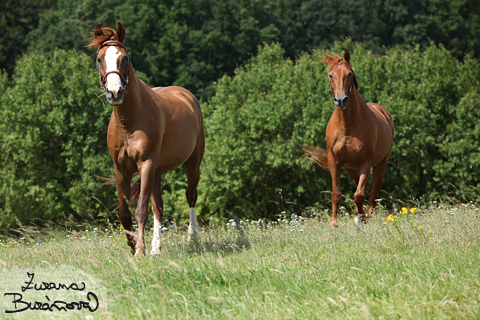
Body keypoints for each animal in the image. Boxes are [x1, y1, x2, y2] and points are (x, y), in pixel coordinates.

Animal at [88, 22, 204, 256]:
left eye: (125, 57)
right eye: (99, 59)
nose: (115, 92)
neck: (129, 122)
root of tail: (188, 96)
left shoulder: (146, 164)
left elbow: (141, 210)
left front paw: (140, 249)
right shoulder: (121, 170)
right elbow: (125, 213)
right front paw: (133, 248)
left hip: (192, 164)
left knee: (191, 196)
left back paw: (193, 240)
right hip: (157, 172)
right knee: (158, 207)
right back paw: (156, 249)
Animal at [304, 48, 394, 226]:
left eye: (349, 74)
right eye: (330, 75)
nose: (341, 100)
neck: (347, 126)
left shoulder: (366, 162)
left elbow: (359, 195)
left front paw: (363, 217)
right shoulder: (335, 162)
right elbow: (336, 194)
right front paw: (333, 224)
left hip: (380, 165)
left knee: (372, 194)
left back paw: (366, 215)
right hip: (351, 169)